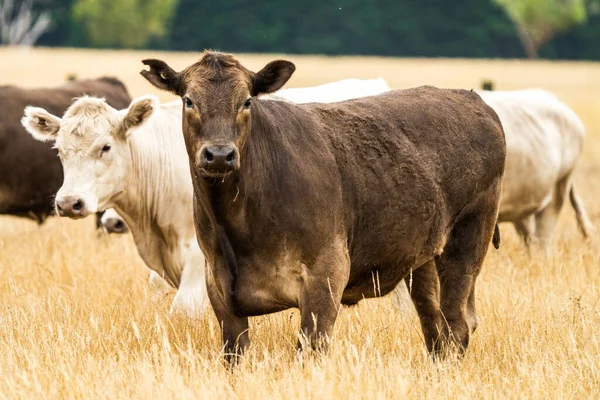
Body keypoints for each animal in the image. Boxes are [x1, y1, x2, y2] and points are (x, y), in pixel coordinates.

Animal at [139, 50, 506, 360]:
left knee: (458, 323)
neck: (240, 229)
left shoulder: (326, 275)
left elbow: (310, 351)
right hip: (424, 257)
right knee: (434, 323)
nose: (219, 155)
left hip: (468, 238)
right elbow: (235, 352)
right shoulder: (218, 286)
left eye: (246, 101)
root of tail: (470, 97)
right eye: (189, 100)